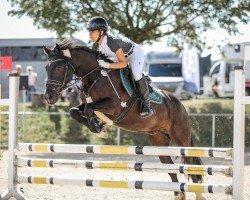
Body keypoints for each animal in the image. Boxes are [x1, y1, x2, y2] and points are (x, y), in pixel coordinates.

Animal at [43, 39, 203, 200]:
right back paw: (178, 194)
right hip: (159, 141)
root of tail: (179, 103)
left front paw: (98, 127)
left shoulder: (115, 108)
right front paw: (99, 127)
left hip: (182, 139)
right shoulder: (87, 105)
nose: (49, 97)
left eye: (58, 66)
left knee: (191, 164)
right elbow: (74, 111)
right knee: (169, 168)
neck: (95, 77)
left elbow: (89, 109)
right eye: (46, 67)